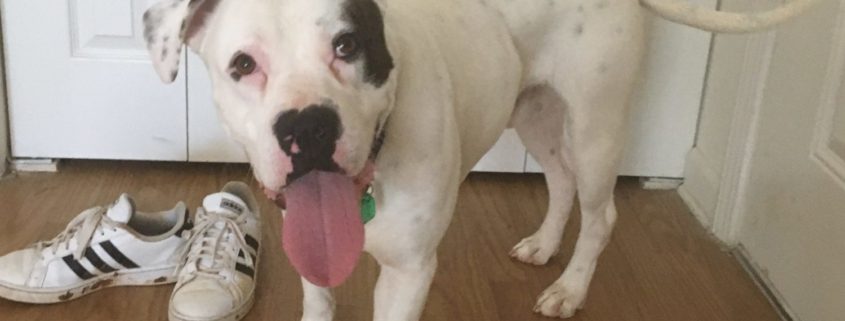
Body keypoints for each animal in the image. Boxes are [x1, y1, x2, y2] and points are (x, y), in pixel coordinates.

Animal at [142, 1, 816, 318]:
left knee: (601, 215)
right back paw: (544, 246)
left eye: (348, 45)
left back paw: (570, 288)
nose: (307, 124)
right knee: (560, 181)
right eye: (242, 65)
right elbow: (320, 302)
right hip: (534, 112)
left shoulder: (410, 274)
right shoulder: (312, 253)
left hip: (595, 124)